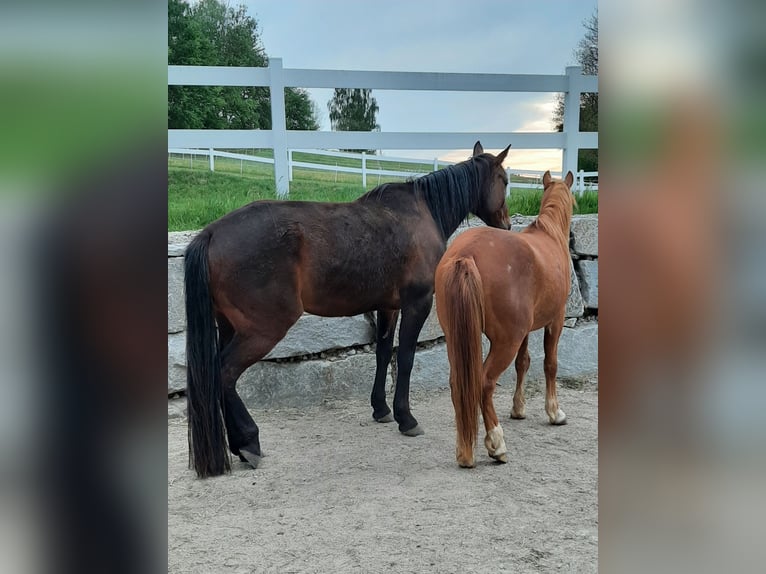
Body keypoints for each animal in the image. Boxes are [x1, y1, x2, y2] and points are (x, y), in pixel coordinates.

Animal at [184, 142, 512, 480]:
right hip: (261, 330)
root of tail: (211, 233)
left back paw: (239, 445)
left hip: (229, 327)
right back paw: (249, 441)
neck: (421, 213)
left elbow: (383, 353)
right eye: (504, 180)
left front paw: (381, 409)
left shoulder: (388, 307)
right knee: (225, 373)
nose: (507, 225)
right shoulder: (417, 303)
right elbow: (406, 358)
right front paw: (406, 417)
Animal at [438, 171, 576, 468]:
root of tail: (465, 254)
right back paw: (496, 443)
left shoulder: (525, 331)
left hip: (457, 339)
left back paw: (464, 452)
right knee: (484, 383)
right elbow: (550, 364)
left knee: (459, 384)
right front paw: (554, 412)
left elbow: (523, 363)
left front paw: (518, 408)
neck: (549, 236)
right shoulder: (555, 320)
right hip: (504, 342)